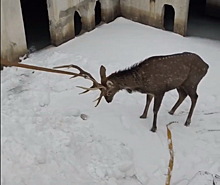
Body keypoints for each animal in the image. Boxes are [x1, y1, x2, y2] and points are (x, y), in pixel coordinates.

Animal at [54, 52, 209, 132]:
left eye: (108, 92)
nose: (108, 101)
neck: (141, 81)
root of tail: (206, 65)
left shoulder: (159, 90)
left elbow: (155, 109)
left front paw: (153, 127)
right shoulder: (151, 91)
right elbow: (147, 102)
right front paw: (143, 115)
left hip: (192, 81)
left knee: (195, 97)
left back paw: (187, 121)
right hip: (181, 84)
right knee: (183, 95)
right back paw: (171, 111)